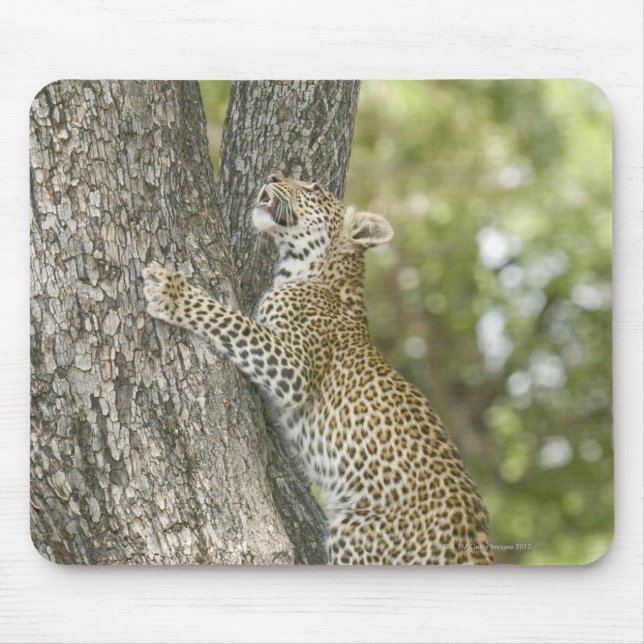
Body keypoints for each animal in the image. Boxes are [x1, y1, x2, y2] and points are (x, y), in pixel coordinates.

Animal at [143, 174, 493, 565]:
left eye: (314, 189)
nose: (273, 176)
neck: (311, 272)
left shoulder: (291, 365)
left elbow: (231, 320)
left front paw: (172, 294)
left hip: (355, 533)